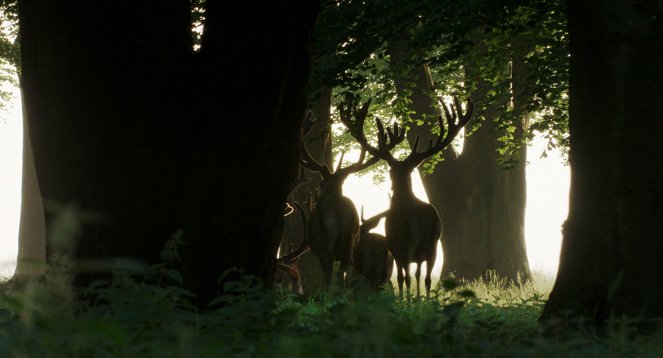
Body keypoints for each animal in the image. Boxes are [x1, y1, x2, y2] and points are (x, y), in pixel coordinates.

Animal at [340, 96, 474, 298]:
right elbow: (417, 276)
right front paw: (417, 299)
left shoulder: (397, 246)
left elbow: (403, 278)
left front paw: (407, 299)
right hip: (432, 245)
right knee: (425, 278)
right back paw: (424, 299)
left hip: (408, 243)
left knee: (408, 276)